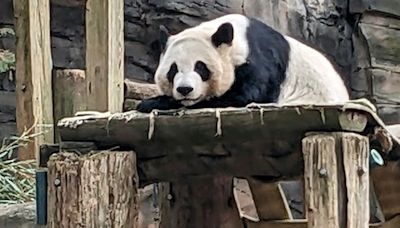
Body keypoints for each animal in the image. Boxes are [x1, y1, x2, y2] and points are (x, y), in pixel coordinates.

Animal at [137, 13, 346, 112]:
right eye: (173, 70)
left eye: (200, 67)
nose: (185, 90)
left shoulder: (260, 61)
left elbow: (244, 96)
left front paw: (152, 103)